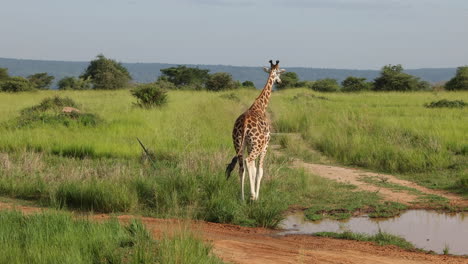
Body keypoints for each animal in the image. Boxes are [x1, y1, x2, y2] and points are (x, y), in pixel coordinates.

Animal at [226, 59, 286, 200]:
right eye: (278, 73)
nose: (279, 82)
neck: (260, 106)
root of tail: (244, 123)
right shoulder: (265, 145)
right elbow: (259, 170)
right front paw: (256, 196)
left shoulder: (249, 145)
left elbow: (253, 170)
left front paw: (249, 194)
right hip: (256, 145)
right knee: (248, 162)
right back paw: (252, 196)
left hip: (238, 144)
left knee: (241, 167)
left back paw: (242, 198)